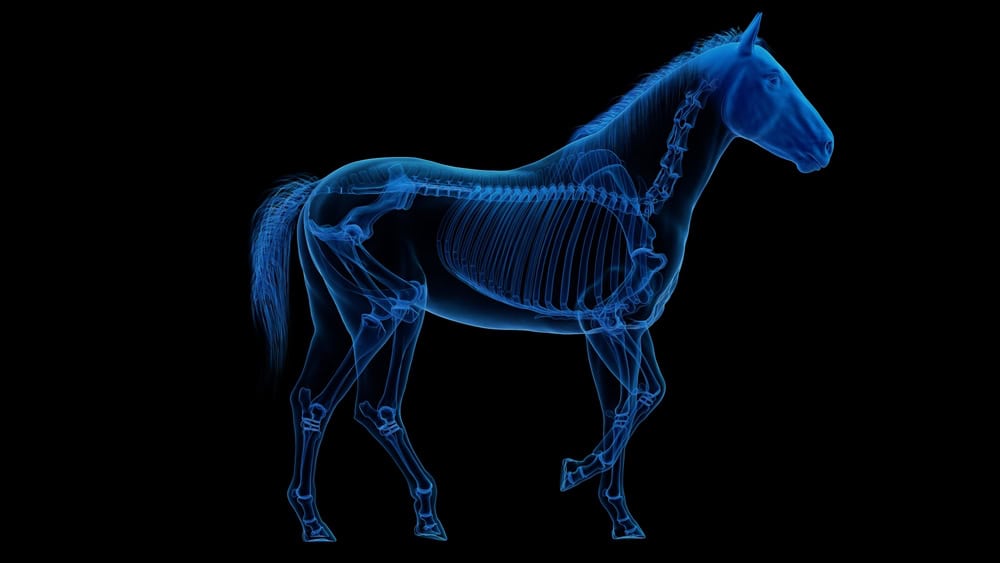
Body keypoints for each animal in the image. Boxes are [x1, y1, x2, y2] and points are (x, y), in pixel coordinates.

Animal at [251, 13, 833, 542]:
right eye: (772, 78)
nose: (825, 147)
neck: (642, 192)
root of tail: (316, 192)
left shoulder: (627, 327)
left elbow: (627, 403)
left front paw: (621, 518)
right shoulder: (604, 322)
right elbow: (640, 398)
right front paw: (576, 472)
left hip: (338, 315)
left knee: (321, 400)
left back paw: (336, 520)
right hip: (391, 306)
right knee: (359, 399)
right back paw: (379, 519)